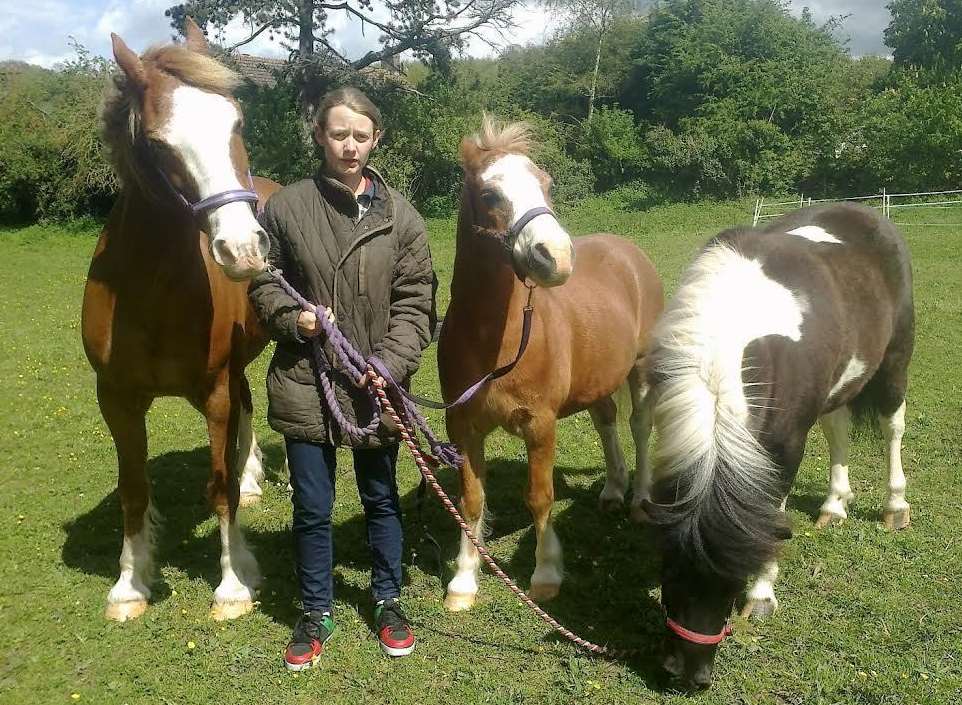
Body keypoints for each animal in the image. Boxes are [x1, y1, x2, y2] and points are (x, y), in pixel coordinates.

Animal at [81, 19, 280, 620]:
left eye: (236, 121)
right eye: (157, 142)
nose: (243, 248)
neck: (153, 291)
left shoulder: (213, 390)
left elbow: (220, 487)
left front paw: (234, 582)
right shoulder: (116, 398)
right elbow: (132, 489)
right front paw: (130, 584)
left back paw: (251, 478)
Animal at [438, 118, 664, 608]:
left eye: (546, 184)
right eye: (490, 194)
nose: (556, 256)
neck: (494, 341)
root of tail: (630, 252)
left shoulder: (539, 424)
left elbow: (540, 497)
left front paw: (545, 574)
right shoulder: (462, 427)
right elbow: (470, 500)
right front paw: (464, 579)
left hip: (640, 367)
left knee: (640, 425)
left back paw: (639, 499)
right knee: (606, 419)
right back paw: (613, 489)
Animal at [640, 202, 912, 688]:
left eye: (733, 584)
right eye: (668, 574)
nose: (689, 674)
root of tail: (870, 215)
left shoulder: (785, 445)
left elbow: (769, 519)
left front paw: (763, 595)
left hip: (895, 361)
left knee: (891, 427)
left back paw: (895, 506)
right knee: (838, 429)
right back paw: (834, 506)